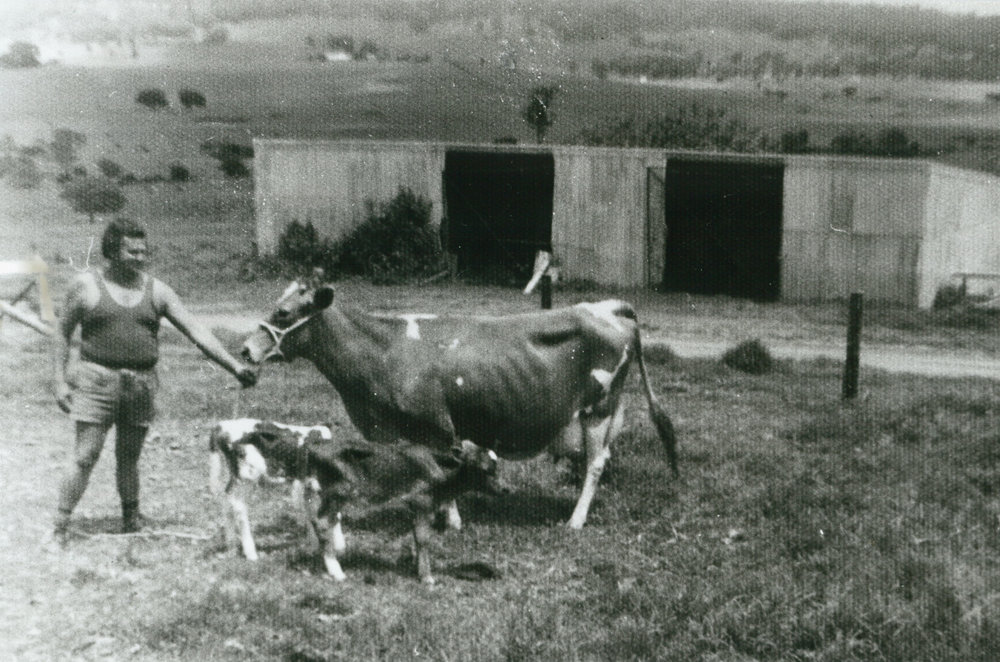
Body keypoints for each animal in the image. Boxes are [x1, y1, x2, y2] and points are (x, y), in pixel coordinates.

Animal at [208, 418, 502, 583]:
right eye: (485, 468)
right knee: (246, 507)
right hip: (256, 477)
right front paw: (426, 577)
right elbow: (423, 539)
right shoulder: (420, 503)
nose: (504, 489)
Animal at [240, 280, 677, 530]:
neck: (383, 349)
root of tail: (605, 306)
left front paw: (450, 521)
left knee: (595, 464)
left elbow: (443, 470)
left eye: (283, 312)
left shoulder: (437, 426)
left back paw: (575, 521)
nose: (245, 349)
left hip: (598, 408)